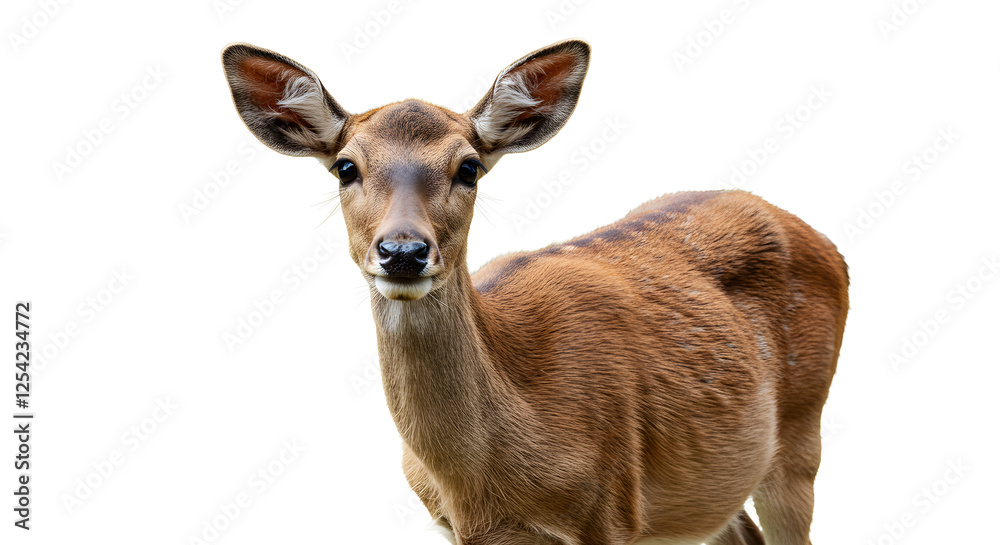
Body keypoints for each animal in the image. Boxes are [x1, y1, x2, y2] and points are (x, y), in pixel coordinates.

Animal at [222, 39, 849, 545]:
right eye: (346, 167)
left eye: (469, 167)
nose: (403, 251)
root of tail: (828, 244)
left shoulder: (610, 510)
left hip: (801, 432)